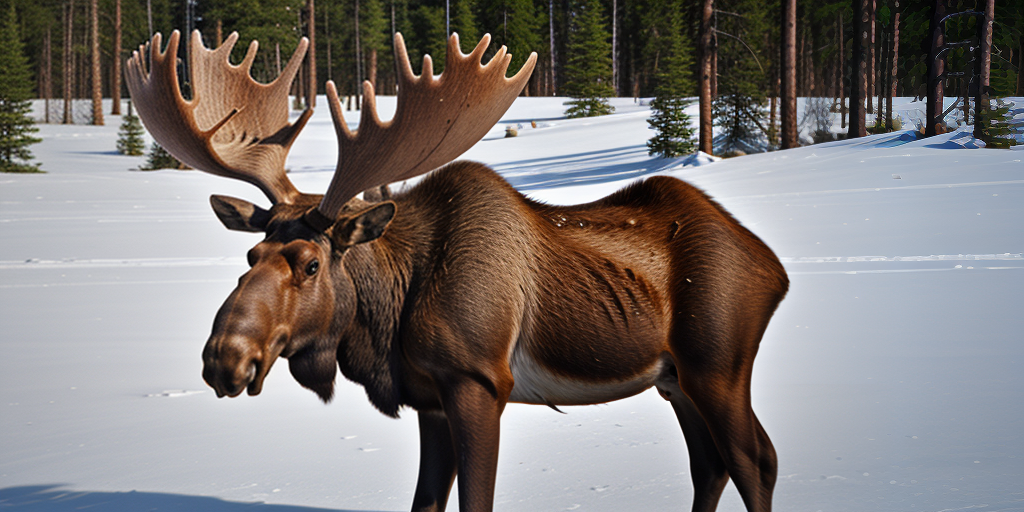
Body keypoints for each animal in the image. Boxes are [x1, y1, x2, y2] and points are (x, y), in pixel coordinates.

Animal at [125, 29, 788, 512]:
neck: (387, 324)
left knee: (756, 459)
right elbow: (425, 505)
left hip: (717, 364)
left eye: (311, 263)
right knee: (710, 466)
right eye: (250, 256)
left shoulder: (479, 381)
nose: (224, 358)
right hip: (673, 380)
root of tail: (775, 269)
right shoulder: (431, 400)